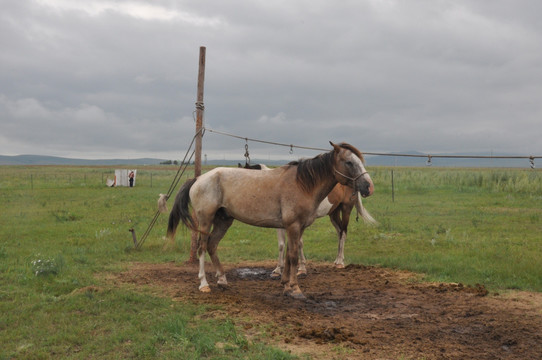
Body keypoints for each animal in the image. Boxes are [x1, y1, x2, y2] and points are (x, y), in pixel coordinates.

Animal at [168, 142, 376, 300]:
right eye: (349, 162)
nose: (369, 187)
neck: (303, 184)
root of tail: (197, 179)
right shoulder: (293, 226)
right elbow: (292, 255)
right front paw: (295, 289)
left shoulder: (296, 227)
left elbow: (290, 255)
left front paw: (286, 284)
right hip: (205, 221)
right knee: (202, 247)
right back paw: (204, 283)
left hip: (224, 221)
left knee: (212, 245)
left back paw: (222, 279)